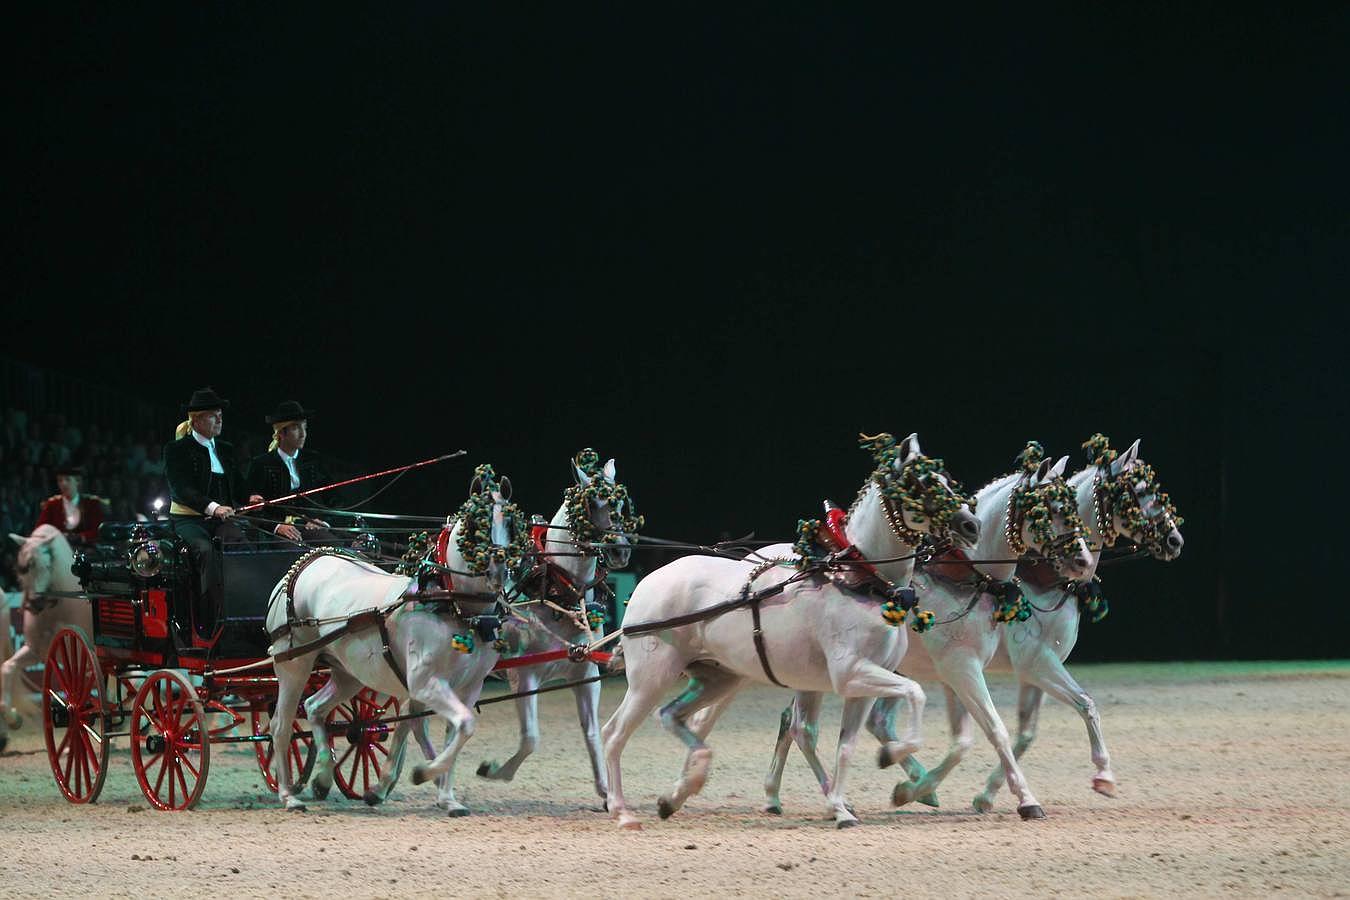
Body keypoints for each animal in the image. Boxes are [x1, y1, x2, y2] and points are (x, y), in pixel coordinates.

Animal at [3, 523, 91, 744]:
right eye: (24, 567)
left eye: (48, 566)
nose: (35, 602)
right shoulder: (36, 651)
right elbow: (8, 667)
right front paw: (12, 717)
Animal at [261, 469, 521, 814]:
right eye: (475, 523)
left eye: (512, 523)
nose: (499, 569)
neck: (451, 602)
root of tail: (307, 562)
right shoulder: (425, 683)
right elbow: (463, 725)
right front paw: (422, 773)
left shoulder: (469, 687)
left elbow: (458, 733)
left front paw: (448, 798)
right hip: (294, 665)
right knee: (281, 725)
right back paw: (289, 795)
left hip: (348, 673)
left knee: (315, 708)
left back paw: (323, 779)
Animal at [475, 450, 637, 804]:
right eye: (591, 503)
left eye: (620, 503)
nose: (619, 550)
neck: (556, 589)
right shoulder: (523, 676)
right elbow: (530, 738)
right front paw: (495, 771)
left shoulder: (584, 673)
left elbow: (592, 732)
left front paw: (605, 791)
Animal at [604, 434, 982, 831]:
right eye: (919, 484)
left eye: (946, 479)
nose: (971, 525)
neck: (859, 578)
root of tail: (648, 581)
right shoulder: (851, 673)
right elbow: (916, 693)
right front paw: (890, 756)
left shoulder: (862, 685)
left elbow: (846, 747)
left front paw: (843, 807)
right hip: (652, 678)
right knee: (614, 734)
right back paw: (623, 811)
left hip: (717, 678)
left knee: (672, 716)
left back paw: (677, 792)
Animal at [739, 447, 1096, 820]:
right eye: (1050, 509)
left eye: (1073, 505)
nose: (1083, 561)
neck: (966, 574)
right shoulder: (969, 667)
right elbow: (995, 729)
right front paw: (1026, 799)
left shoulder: (960, 671)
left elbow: (966, 739)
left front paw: (914, 788)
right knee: (803, 727)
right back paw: (823, 800)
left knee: (800, 724)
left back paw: (786, 796)